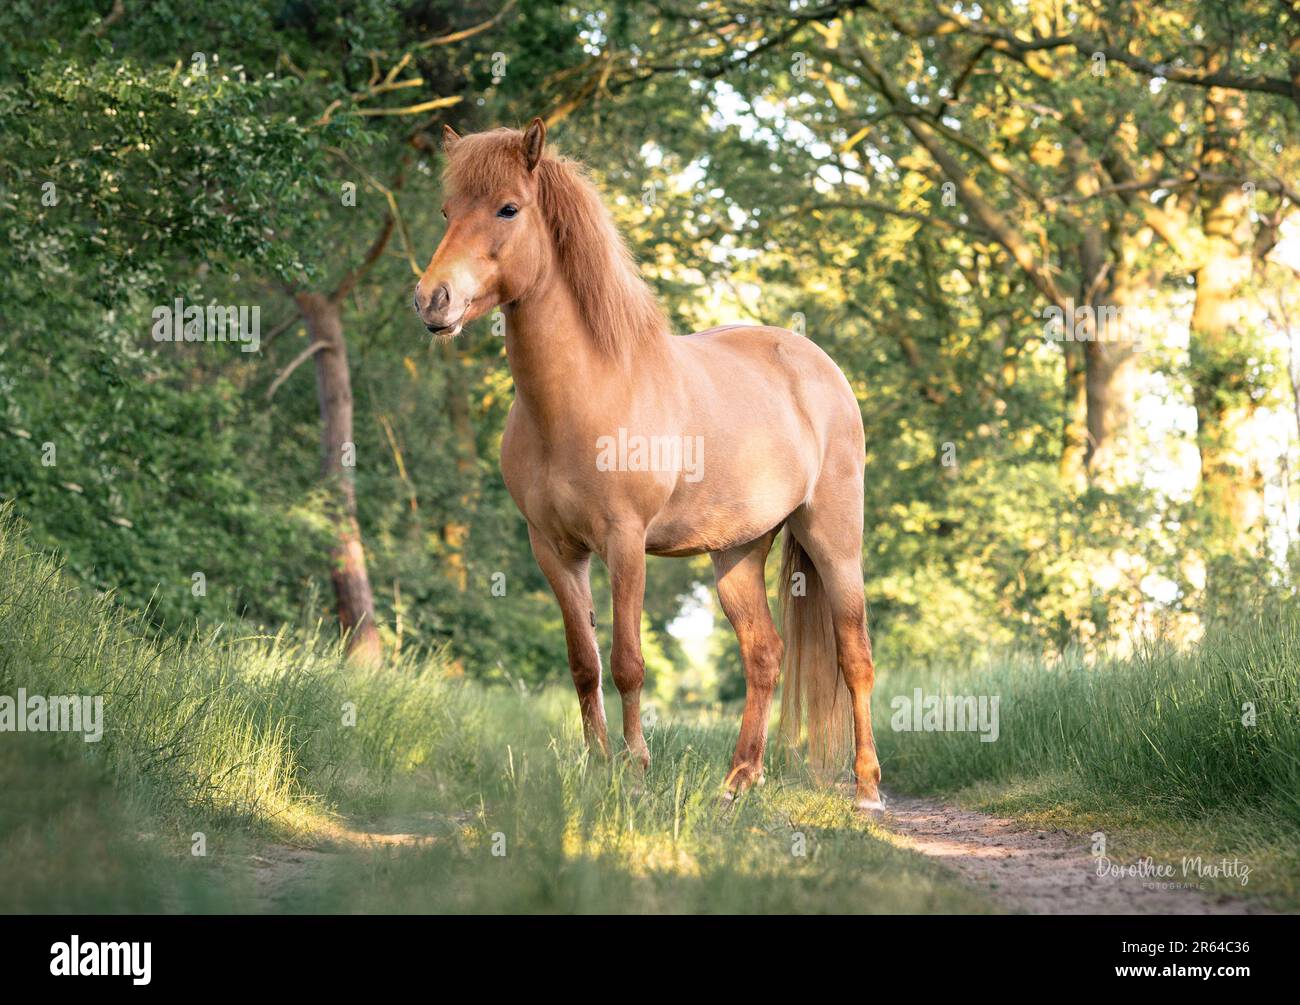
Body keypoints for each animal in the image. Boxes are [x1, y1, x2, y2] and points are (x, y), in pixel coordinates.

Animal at [416, 117, 883, 811]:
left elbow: (627, 662)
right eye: (447, 211)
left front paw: (634, 771)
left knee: (854, 654)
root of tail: (818, 366)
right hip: (737, 552)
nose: (432, 300)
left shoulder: (625, 542)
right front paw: (595, 768)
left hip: (833, 537)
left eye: (508, 208)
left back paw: (867, 787)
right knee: (764, 654)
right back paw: (738, 781)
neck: (586, 393)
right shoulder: (553, 549)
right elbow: (584, 664)